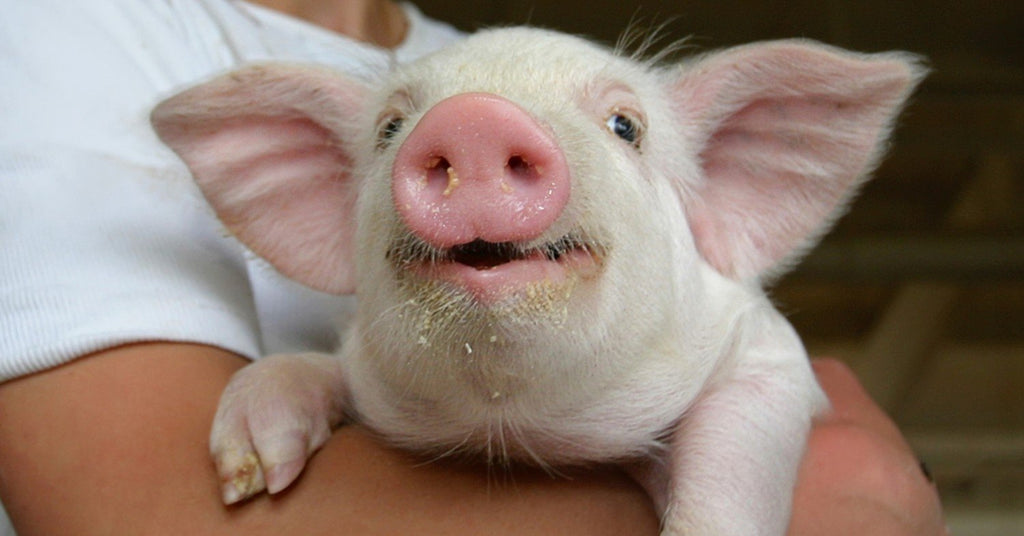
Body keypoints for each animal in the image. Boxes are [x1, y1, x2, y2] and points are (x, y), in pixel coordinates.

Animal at [151, 27, 924, 535]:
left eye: (626, 125)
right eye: (390, 126)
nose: (474, 118)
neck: (516, 434)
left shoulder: (772, 364)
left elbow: (733, 459)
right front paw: (249, 477)